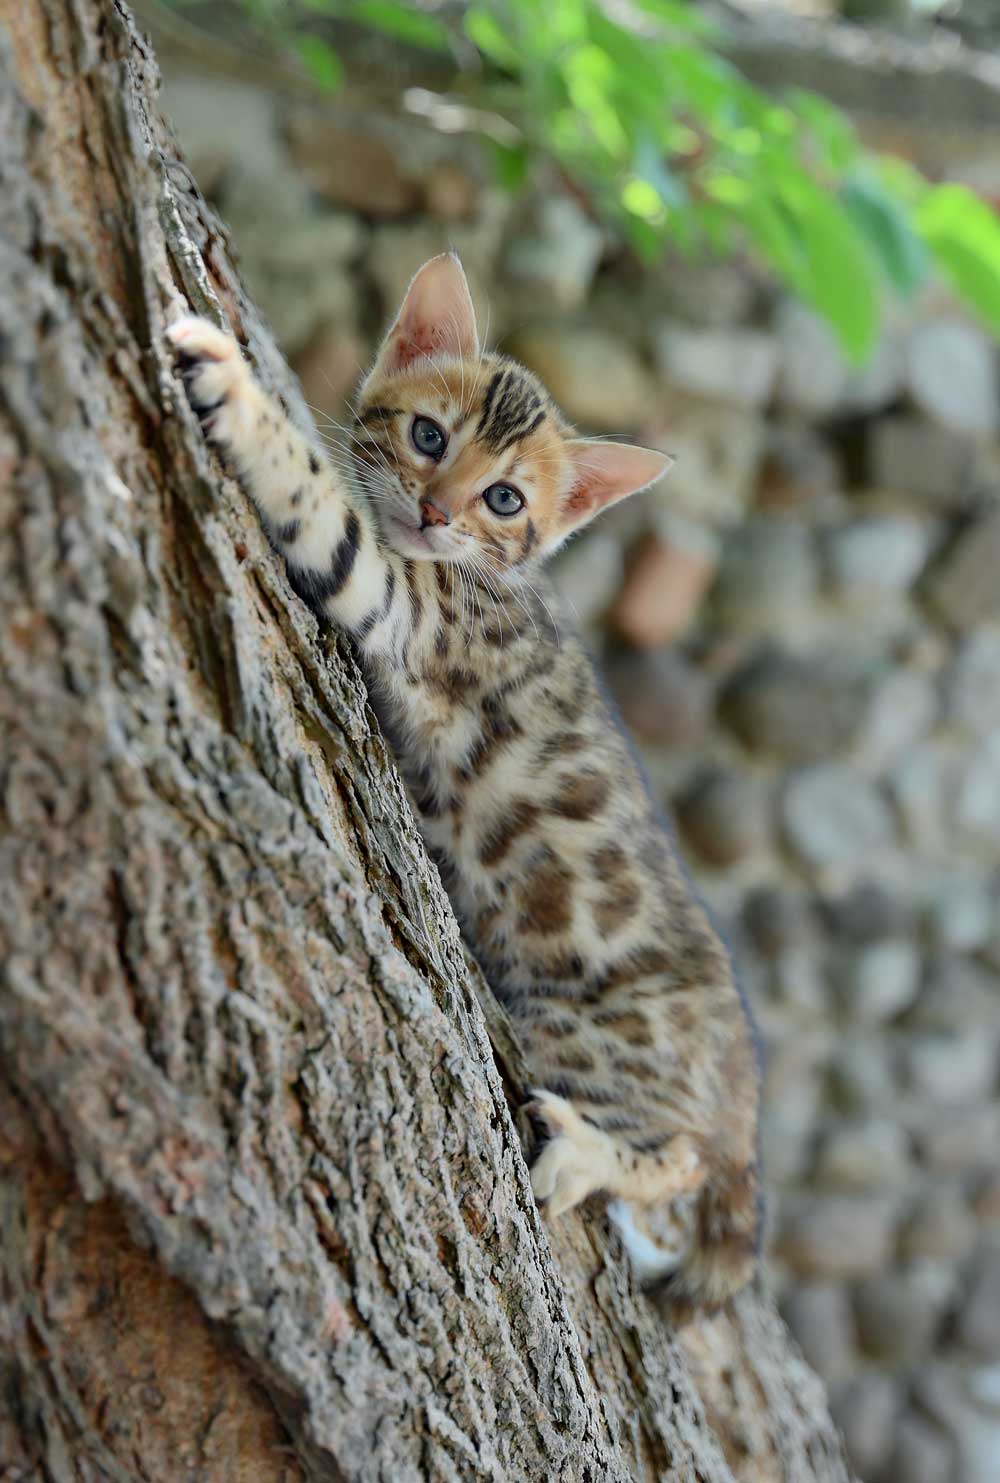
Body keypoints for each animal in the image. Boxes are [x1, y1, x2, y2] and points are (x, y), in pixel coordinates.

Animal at [167, 255, 759, 1322]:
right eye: (429, 436)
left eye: (507, 500)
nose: (437, 511)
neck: (479, 578)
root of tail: (744, 1096)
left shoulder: (418, 617)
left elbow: (324, 510)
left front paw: (231, 381)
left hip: (594, 1043)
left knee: (681, 1161)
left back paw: (585, 1157)